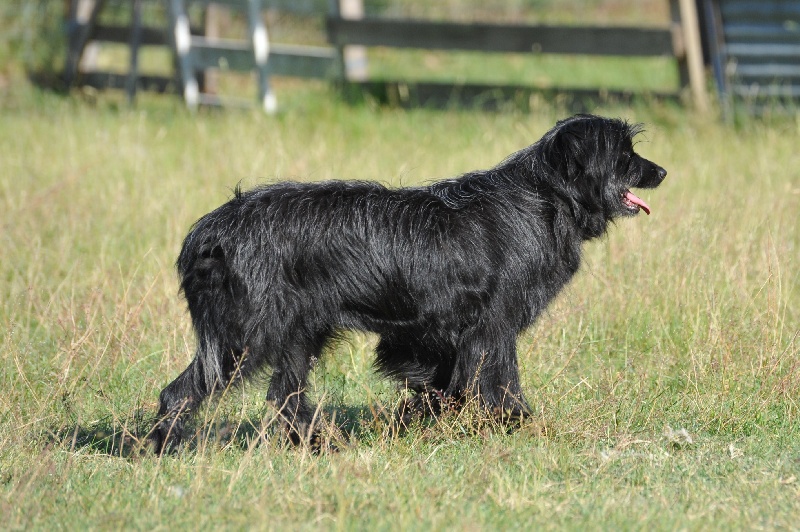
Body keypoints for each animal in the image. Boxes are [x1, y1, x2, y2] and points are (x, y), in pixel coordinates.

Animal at [150, 112, 664, 454]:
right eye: (624, 155)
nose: (660, 171)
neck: (546, 197)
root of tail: (210, 231)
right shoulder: (490, 329)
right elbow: (498, 381)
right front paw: (515, 424)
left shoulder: (439, 337)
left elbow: (441, 383)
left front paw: (427, 419)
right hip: (244, 338)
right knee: (181, 392)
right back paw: (160, 445)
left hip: (298, 335)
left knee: (284, 397)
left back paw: (318, 443)